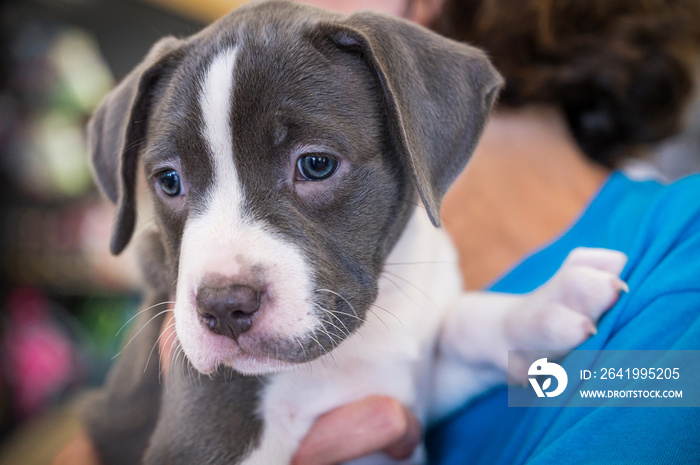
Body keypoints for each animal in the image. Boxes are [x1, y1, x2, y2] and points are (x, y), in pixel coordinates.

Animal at [83, 1, 628, 462]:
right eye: (169, 181)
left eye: (316, 164)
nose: (223, 306)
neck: (353, 348)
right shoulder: (201, 430)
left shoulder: (409, 386)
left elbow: (460, 324)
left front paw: (545, 304)